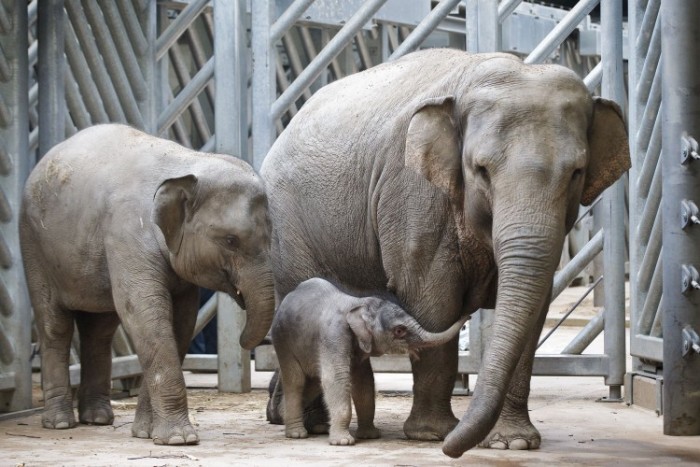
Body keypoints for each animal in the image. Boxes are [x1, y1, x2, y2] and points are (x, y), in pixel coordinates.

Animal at [19, 124, 276, 446]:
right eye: (231, 240)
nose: (247, 344)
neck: (188, 164)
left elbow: (181, 323)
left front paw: (145, 433)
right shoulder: (126, 235)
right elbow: (144, 315)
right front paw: (179, 439)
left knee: (99, 330)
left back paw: (97, 418)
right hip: (34, 245)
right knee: (55, 325)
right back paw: (61, 423)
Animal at [270, 278, 468, 446]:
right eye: (399, 331)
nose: (469, 314)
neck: (357, 303)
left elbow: (363, 380)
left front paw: (369, 435)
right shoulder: (333, 334)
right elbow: (336, 378)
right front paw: (343, 442)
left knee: (313, 382)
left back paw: (291, 418)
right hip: (282, 341)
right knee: (296, 380)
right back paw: (296, 434)